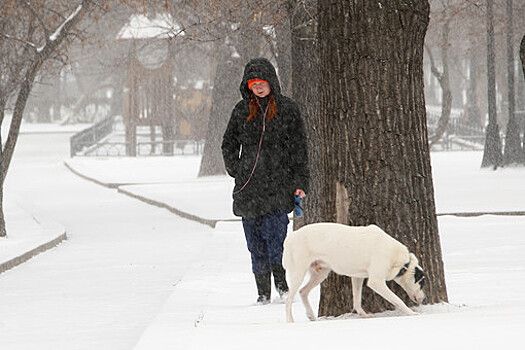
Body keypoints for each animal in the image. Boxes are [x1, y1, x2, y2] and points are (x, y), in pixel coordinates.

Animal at [282, 224, 426, 322]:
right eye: (422, 283)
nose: (424, 298)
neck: (400, 261)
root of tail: (290, 237)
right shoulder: (376, 282)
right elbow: (397, 300)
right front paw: (411, 313)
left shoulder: (357, 277)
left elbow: (357, 300)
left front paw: (363, 315)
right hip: (298, 273)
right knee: (289, 299)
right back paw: (290, 320)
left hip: (320, 274)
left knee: (303, 291)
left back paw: (311, 316)